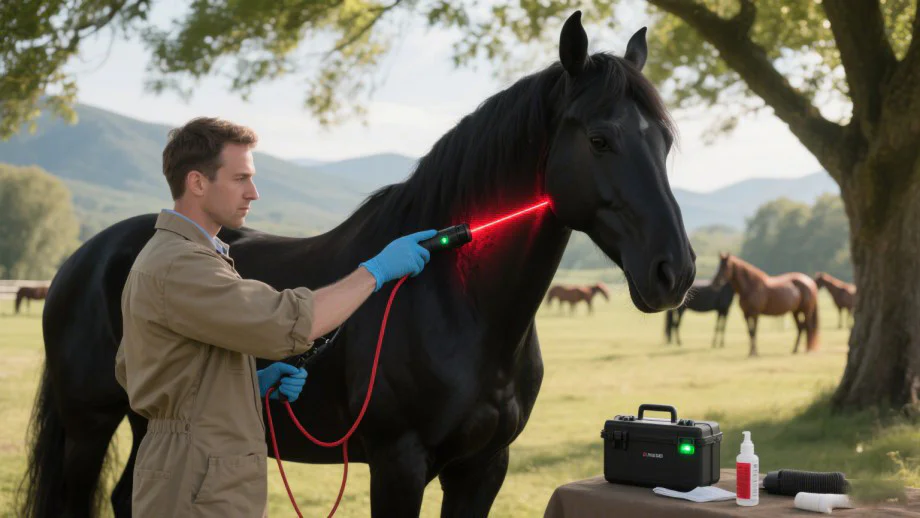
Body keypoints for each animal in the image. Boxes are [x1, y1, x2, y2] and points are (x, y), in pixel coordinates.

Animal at [19, 12, 696, 518]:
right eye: (600, 139)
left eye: (665, 142)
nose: (676, 273)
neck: (458, 304)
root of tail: (84, 259)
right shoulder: (398, 464)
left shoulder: (483, 467)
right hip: (89, 426)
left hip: (143, 423)